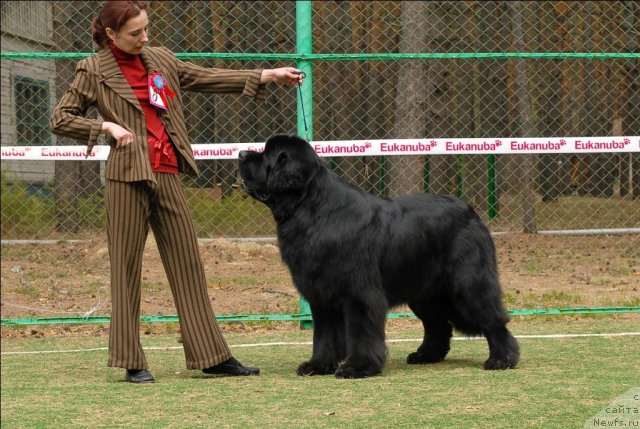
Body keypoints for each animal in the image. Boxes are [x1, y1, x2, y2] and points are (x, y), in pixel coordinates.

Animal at [240, 134, 520, 378]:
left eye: (267, 155)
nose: (241, 153)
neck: (312, 210)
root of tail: (471, 211)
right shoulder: (321, 295)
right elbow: (324, 335)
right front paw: (318, 365)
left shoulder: (359, 293)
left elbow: (361, 332)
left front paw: (358, 368)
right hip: (424, 292)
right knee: (438, 324)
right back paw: (426, 355)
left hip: (467, 282)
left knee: (492, 319)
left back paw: (501, 359)